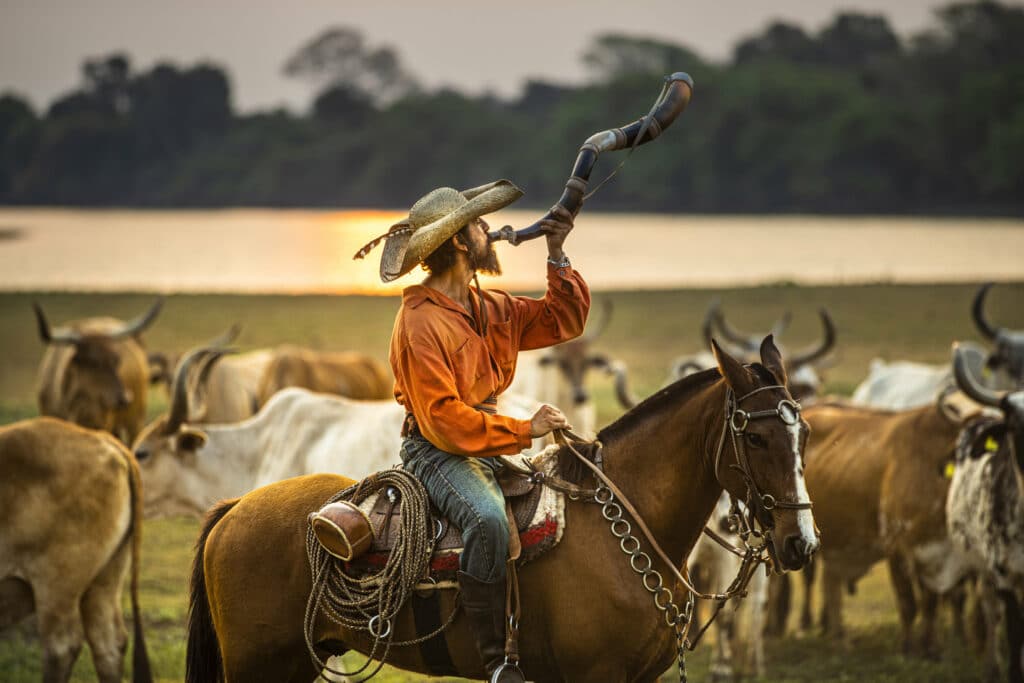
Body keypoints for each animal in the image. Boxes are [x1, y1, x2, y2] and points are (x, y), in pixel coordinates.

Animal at [188, 337, 819, 683]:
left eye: (805, 433)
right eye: (755, 438)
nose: (801, 542)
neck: (624, 528)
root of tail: (236, 507)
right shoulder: (596, 674)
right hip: (257, 664)